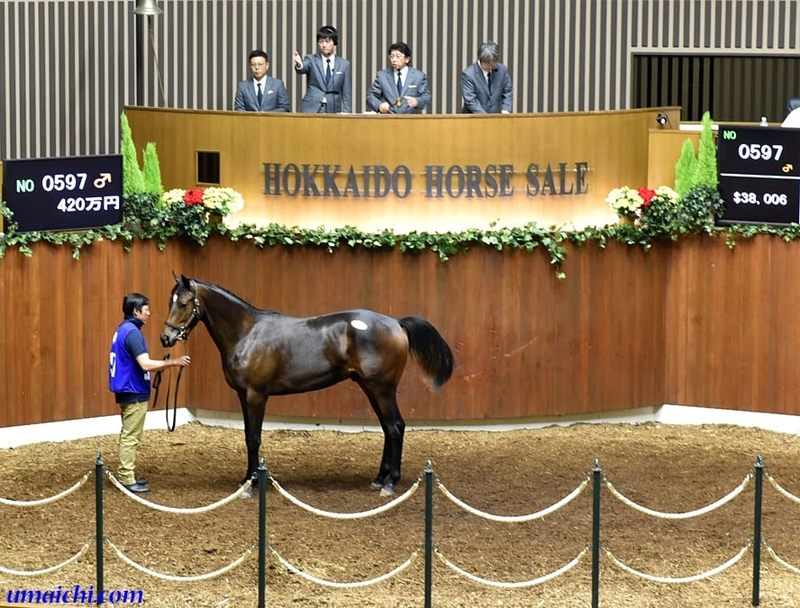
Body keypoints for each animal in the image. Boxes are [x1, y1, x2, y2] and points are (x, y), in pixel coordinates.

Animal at [159, 275, 454, 497]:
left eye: (183, 303)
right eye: (171, 300)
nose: (166, 338)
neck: (248, 333)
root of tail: (397, 323)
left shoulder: (256, 395)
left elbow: (253, 438)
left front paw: (252, 484)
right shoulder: (244, 396)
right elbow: (247, 437)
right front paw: (246, 479)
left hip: (381, 389)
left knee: (395, 427)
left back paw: (390, 482)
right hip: (371, 388)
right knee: (388, 428)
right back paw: (379, 479)